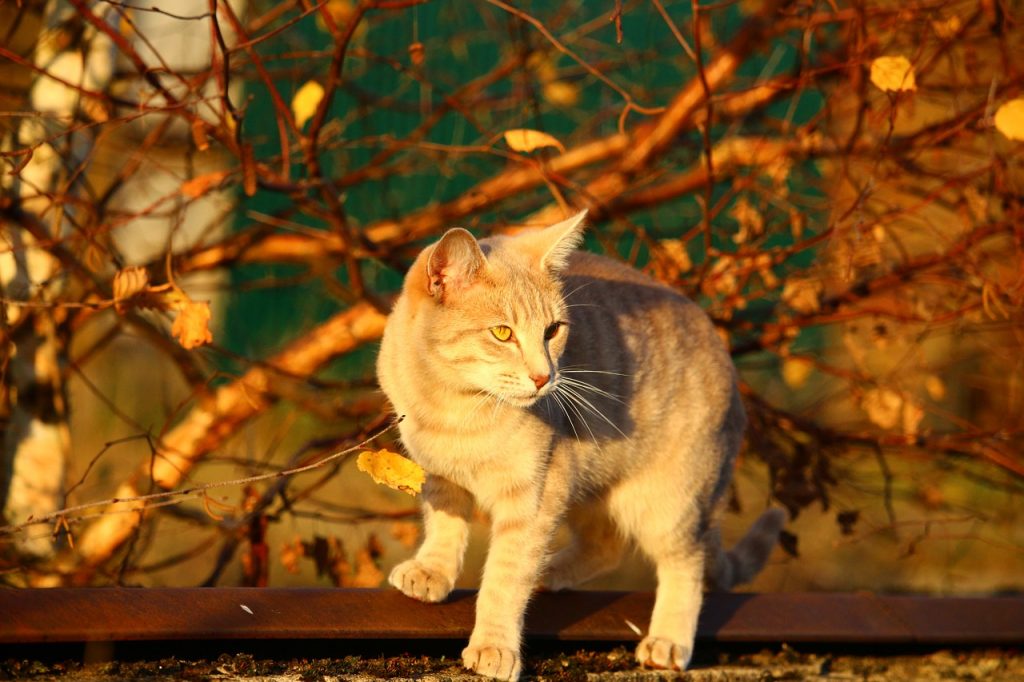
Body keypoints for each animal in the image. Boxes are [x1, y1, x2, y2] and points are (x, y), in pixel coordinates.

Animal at [376, 209, 782, 675]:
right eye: (502, 333)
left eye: (553, 330)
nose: (543, 377)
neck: (455, 410)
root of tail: (724, 354)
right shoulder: (438, 474)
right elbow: (445, 525)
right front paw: (433, 571)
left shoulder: (534, 497)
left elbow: (505, 576)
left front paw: (494, 645)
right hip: (590, 487)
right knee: (606, 545)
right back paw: (550, 571)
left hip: (669, 502)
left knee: (686, 563)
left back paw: (666, 639)